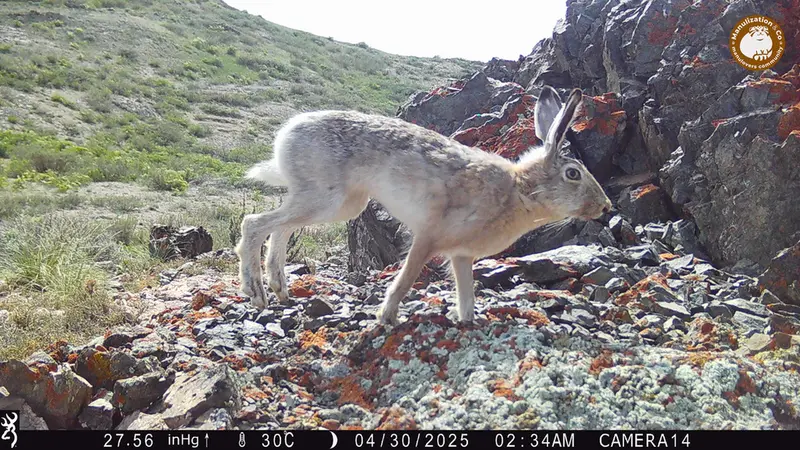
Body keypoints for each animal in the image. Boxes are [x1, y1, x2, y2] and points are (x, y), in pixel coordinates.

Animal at [235, 85, 612, 326]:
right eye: (573, 173)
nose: (606, 207)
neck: (519, 190)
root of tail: (287, 135)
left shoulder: (461, 255)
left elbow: (466, 293)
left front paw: (468, 322)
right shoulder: (429, 237)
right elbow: (406, 279)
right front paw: (386, 318)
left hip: (337, 203)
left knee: (280, 227)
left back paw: (280, 289)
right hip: (326, 198)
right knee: (255, 223)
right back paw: (257, 293)